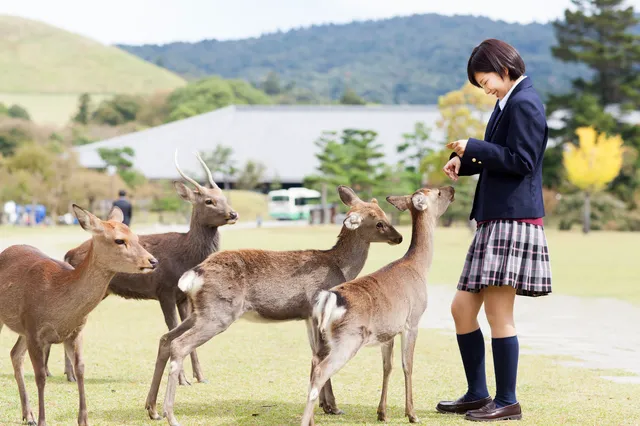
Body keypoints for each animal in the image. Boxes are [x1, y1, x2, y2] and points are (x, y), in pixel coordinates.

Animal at [0, 205, 158, 424]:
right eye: (119, 240)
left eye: (135, 236)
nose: (153, 261)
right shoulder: (34, 330)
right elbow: (40, 376)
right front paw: (42, 420)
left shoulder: (76, 331)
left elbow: (81, 370)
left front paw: (83, 419)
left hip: (22, 329)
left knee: (15, 354)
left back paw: (28, 415)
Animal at [46, 151, 239, 386]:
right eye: (209, 200)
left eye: (224, 197)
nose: (233, 214)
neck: (185, 257)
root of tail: (68, 253)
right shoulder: (164, 290)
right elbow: (172, 328)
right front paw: (182, 378)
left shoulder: (183, 297)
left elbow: (185, 328)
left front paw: (200, 377)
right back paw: (66, 373)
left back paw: (63, 373)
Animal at [145, 185, 402, 426]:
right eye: (379, 222)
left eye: (385, 214)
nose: (398, 237)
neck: (340, 267)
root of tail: (195, 273)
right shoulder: (316, 310)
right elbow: (321, 354)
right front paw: (333, 407)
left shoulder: (308, 316)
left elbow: (315, 354)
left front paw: (326, 405)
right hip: (218, 313)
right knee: (179, 344)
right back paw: (171, 416)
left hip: (200, 311)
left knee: (165, 339)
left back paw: (152, 409)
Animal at [300, 186, 456, 426]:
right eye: (438, 193)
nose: (451, 188)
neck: (419, 269)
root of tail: (328, 300)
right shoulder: (412, 321)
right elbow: (407, 365)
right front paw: (412, 414)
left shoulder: (388, 331)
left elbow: (387, 367)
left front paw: (382, 413)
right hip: (348, 339)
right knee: (320, 371)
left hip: (321, 337)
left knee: (313, 365)